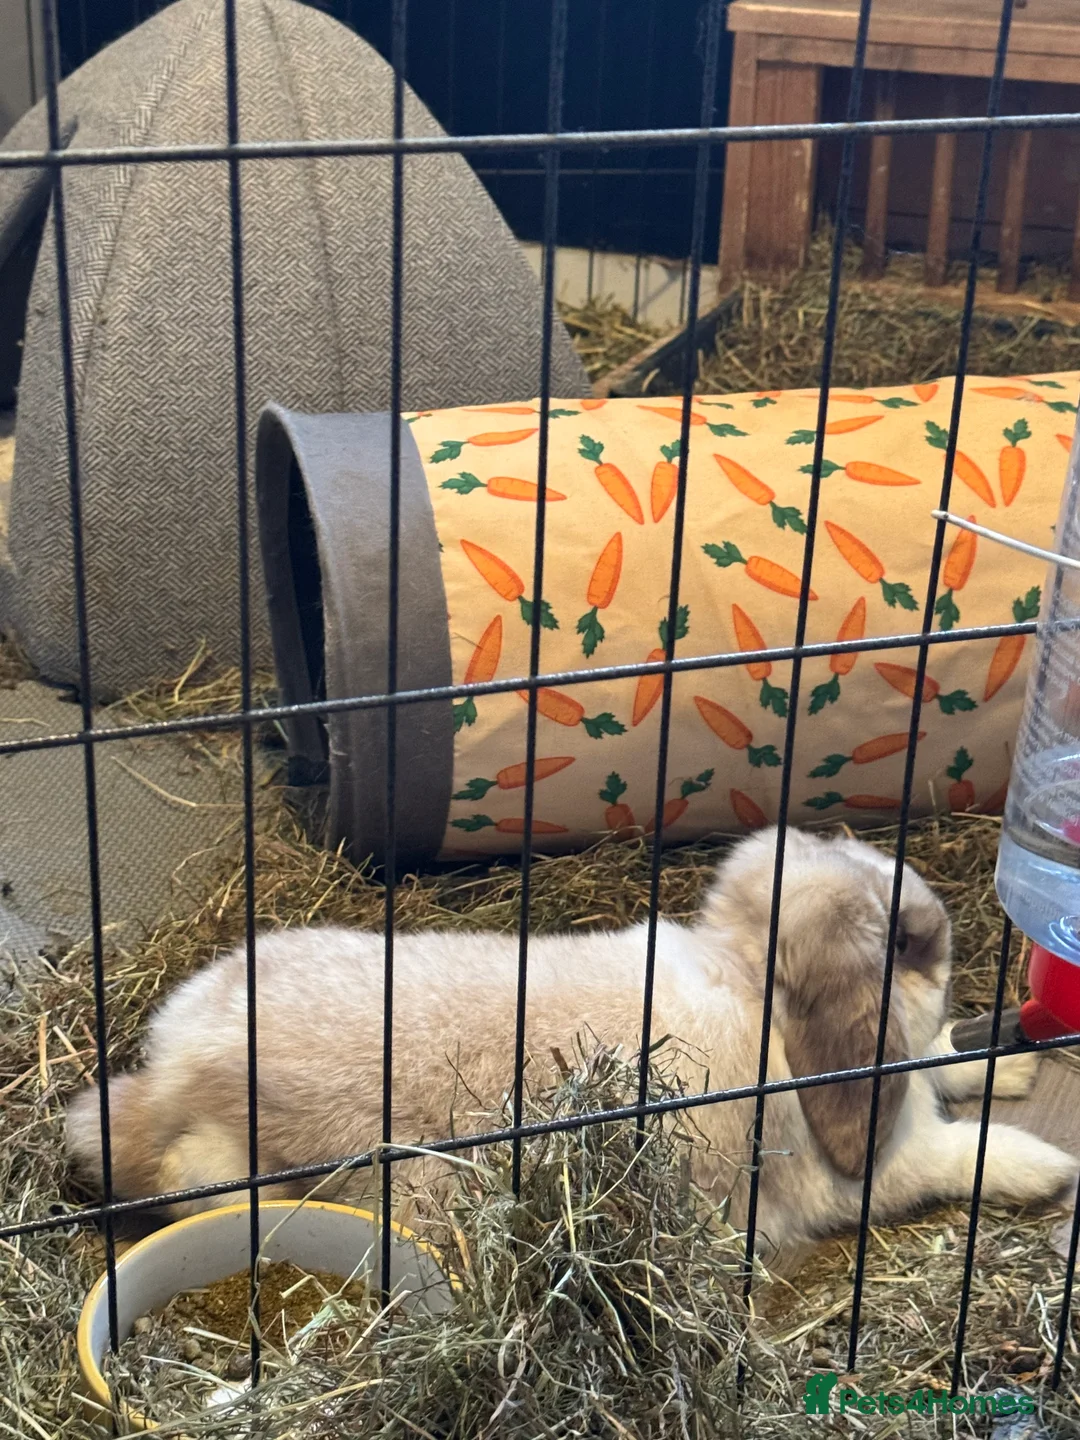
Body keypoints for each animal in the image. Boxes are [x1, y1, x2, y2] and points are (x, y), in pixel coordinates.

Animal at [66, 826, 1076, 1261]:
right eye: (906, 943)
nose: (945, 939)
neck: (754, 985)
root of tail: (166, 1080)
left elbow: (943, 1064)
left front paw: (1008, 1057)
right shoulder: (868, 1170)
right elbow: (958, 1154)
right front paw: (1046, 1168)